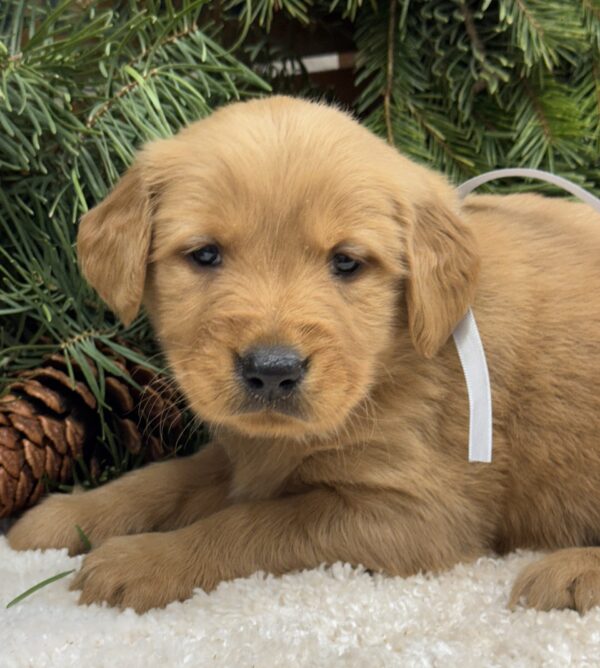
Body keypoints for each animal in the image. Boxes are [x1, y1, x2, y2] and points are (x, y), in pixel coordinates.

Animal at [8, 96, 600, 612]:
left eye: (347, 262)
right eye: (205, 254)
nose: (272, 371)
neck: (389, 362)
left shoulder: (419, 516)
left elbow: (256, 523)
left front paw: (145, 560)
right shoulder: (247, 450)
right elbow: (165, 477)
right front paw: (68, 515)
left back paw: (570, 572)